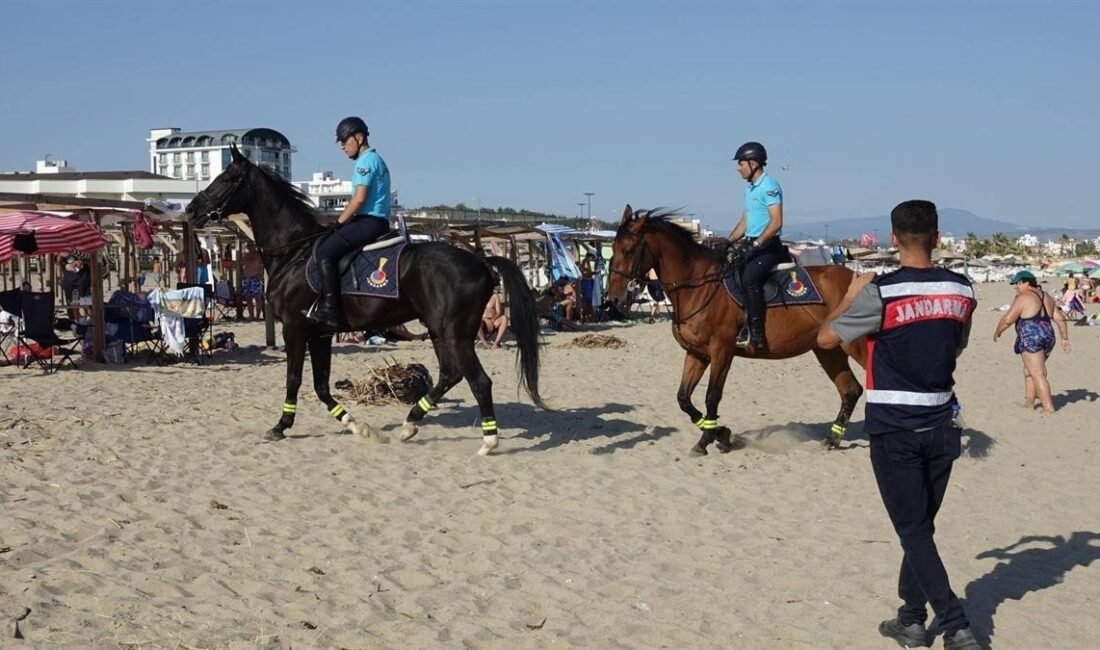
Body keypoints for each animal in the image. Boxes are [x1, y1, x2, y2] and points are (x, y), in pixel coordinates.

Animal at [187, 145, 543, 455]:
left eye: (225, 179)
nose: (190, 210)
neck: (294, 252)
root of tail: (480, 262)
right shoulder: (320, 334)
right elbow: (320, 385)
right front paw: (357, 425)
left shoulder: (294, 328)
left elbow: (294, 379)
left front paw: (280, 426)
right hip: (440, 331)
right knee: (451, 374)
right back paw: (410, 424)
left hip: (455, 333)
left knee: (479, 381)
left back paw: (488, 442)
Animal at [607, 205, 862, 455]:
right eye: (613, 249)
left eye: (629, 250)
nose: (614, 298)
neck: (699, 287)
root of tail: (858, 277)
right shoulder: (697, 354)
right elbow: (683, 398)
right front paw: (721, 434)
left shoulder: (722, 351)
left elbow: (712, 396)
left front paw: (707, 439)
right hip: (828, 350)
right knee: (851, 390)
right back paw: (832, 439)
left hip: (853, 346)